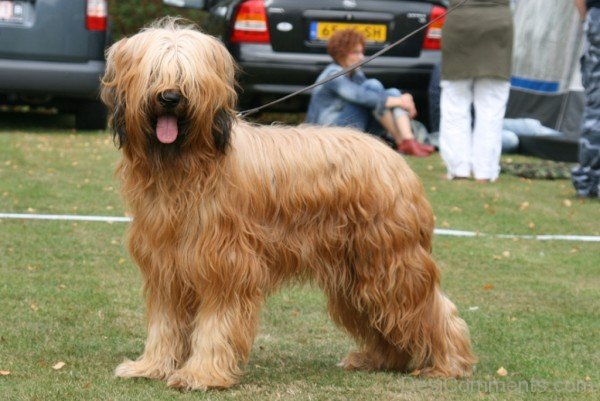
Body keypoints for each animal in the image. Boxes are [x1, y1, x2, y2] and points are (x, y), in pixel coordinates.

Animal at [101, 17, 476, 390]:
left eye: (187, 76)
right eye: (154, 73)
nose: (170, 97)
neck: (184, 168)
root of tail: (394, 158)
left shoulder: (227, 263)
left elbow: (216, 322)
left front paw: (201, 373)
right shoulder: (165, 266)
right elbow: (165, 323)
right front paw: (151, 366)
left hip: (390, 261)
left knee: (427, 309)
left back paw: (448, 363)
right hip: (356, 273)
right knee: (381, 315)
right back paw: (379, 359)